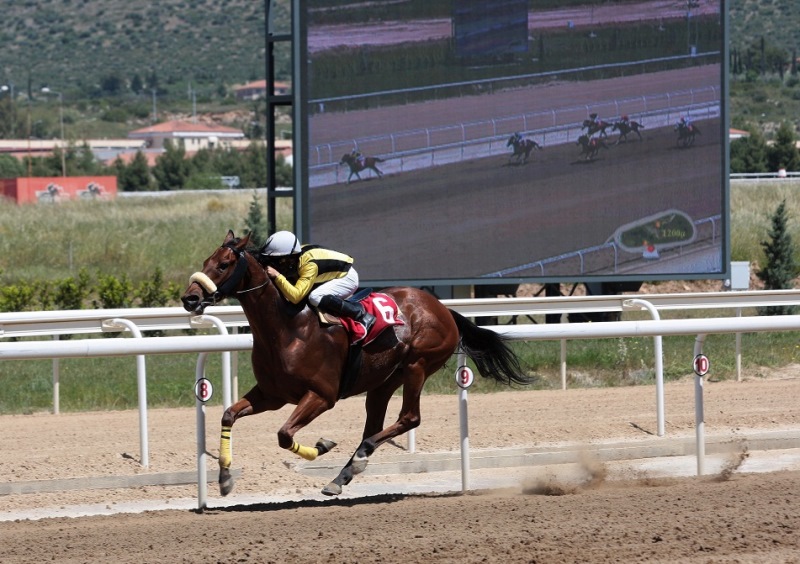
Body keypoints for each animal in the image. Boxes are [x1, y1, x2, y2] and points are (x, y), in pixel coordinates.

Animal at [181, 231, 532, 496]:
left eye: (224, 264)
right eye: (205, 262)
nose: (190, 298)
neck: (287, 328)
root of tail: (443, 308)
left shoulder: (321, 395)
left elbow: (283, 434)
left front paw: (322, 445)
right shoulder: (272, 394)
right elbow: (229, 414)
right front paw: (225, 478)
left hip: (417, 365)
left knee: (409, 418)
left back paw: (359, 458)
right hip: (384, 380)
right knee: (375, 425)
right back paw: (344, 474)